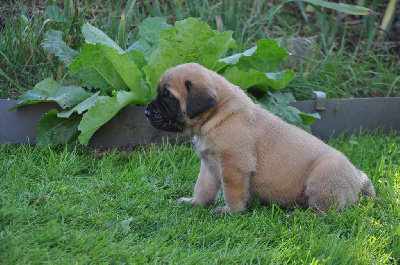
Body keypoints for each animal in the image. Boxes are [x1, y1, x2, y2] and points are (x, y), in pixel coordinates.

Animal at [145, 63, 376, 213]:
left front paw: (230, 211)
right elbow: (203, 188)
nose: (147, 112)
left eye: (168, 97)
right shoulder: (209, 167)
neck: (218, 117)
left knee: (327, 212)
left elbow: (232, 192)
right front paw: (195, 203)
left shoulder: (234, 167)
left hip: (323, 177)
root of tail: (359, 177)